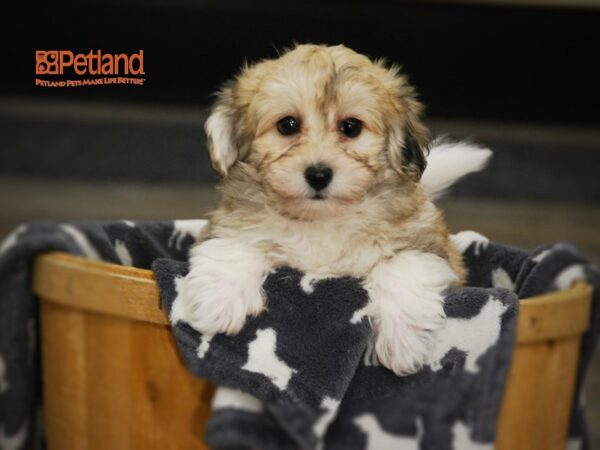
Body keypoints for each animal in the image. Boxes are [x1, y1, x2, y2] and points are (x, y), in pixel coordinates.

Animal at [180, 44, 490, 376]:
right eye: (287, 125)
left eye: (350, 127)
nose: (318, 174)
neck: (322, 219)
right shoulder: (230, 221)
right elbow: (234, 243)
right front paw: (219, 301)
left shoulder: (428, 244)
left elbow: (403, 265)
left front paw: (403, 342)